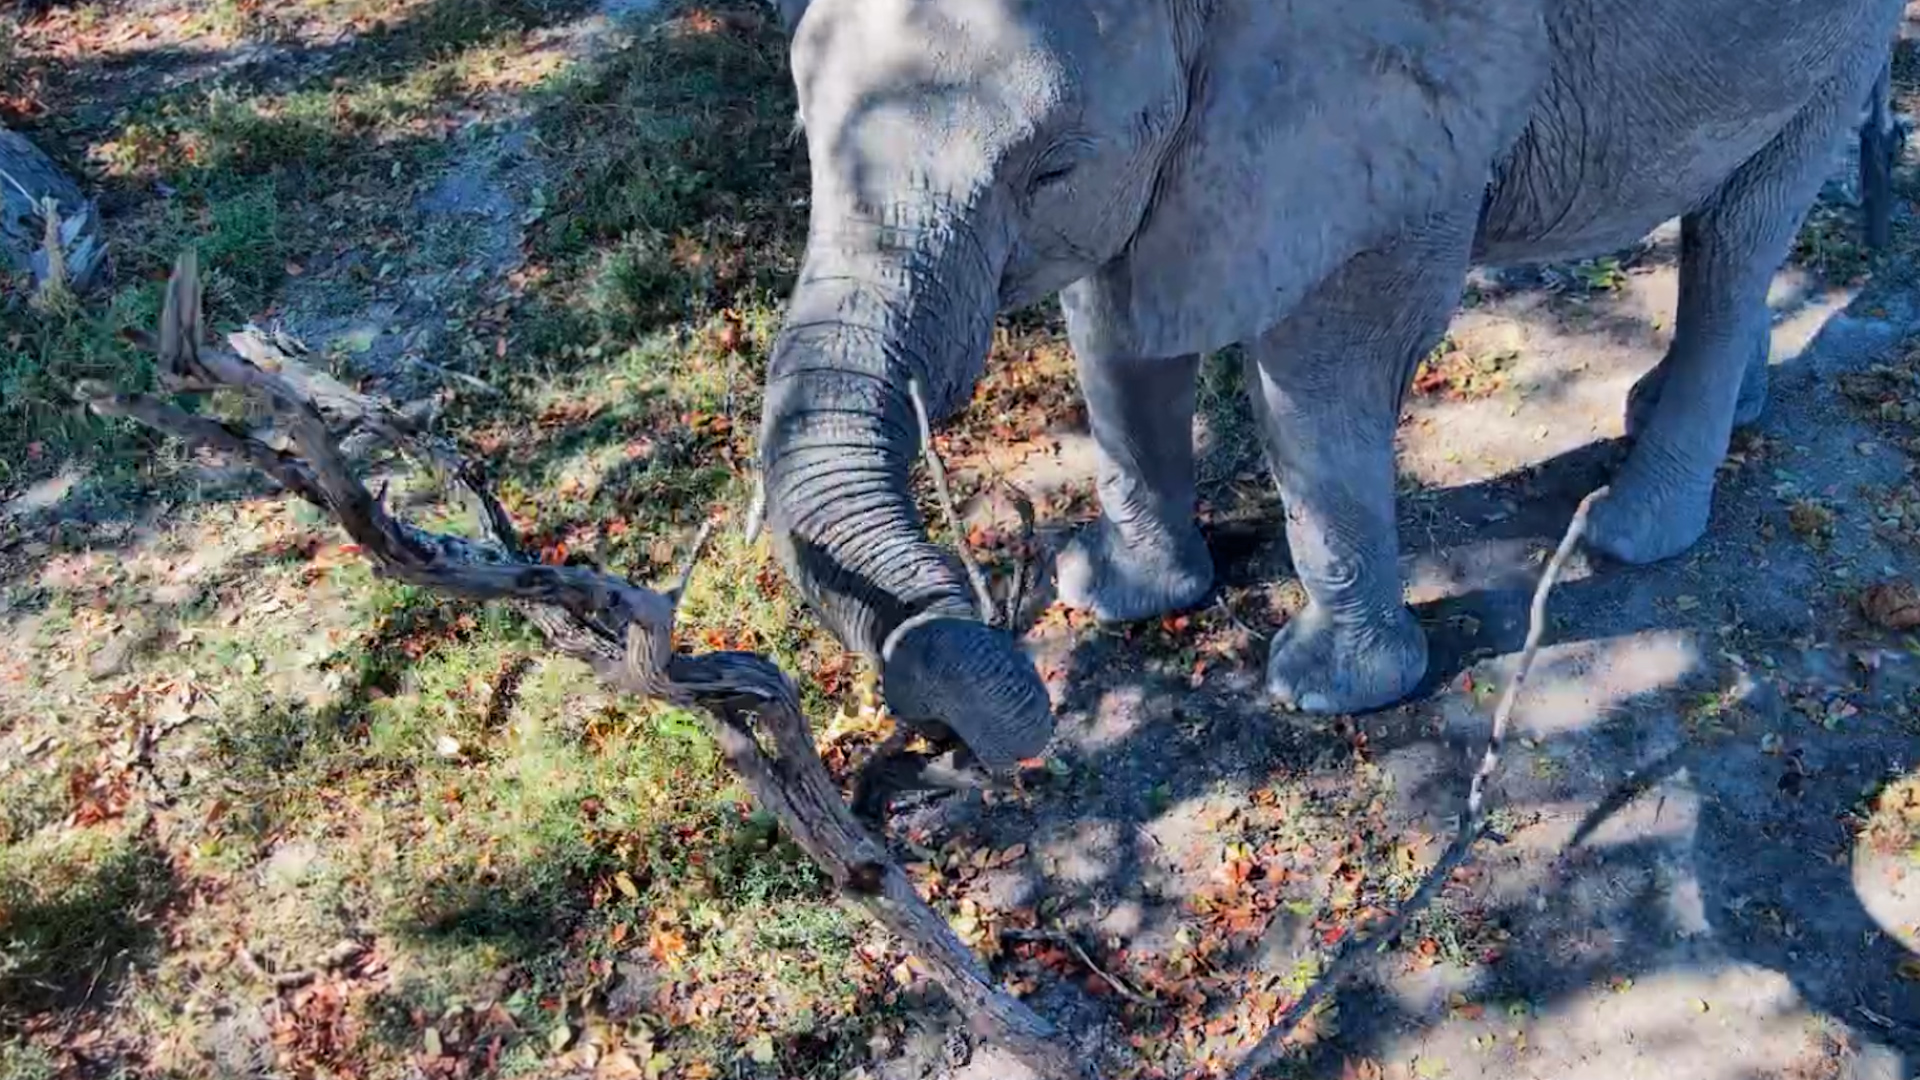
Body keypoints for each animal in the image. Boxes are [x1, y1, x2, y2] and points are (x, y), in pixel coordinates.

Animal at [752, 0, 1908, 774]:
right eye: (803, 125)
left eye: (1051, 168)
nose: (943, 726)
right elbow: (1114, 328)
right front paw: (1118, 596)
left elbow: (1321, 368)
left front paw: (1323, 692)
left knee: (1744, 229)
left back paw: (1635, 528)